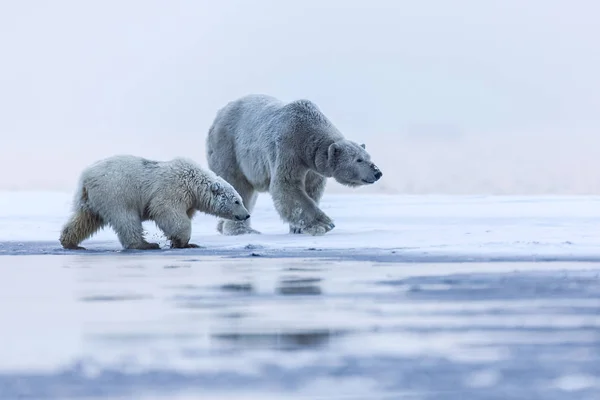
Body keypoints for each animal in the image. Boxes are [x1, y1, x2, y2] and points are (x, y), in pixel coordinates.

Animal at [57, 154, 250, 250]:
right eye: (237, 201)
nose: (247, 215)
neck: (193, 182)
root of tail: (86, 178)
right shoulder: (173, 189)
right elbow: (167, 212)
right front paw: (185, 242)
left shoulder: (189, 200)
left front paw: (180, 242)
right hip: (116, 192)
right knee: (126, 219)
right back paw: (146, 244)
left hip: (91, 200)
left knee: (84, 219)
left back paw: (69, 242)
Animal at [206, 94, 384, 236]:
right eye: (358, 160)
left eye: (368, 157)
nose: (378, 172)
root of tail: (218, 114)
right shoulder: (288, 148)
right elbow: (287, 185)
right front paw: (324, 223)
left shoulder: (312, 166)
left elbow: (311, 189)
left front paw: (298, 229)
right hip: (228, 149)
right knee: (237, 185)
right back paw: (242, 230)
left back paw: (223, 227)